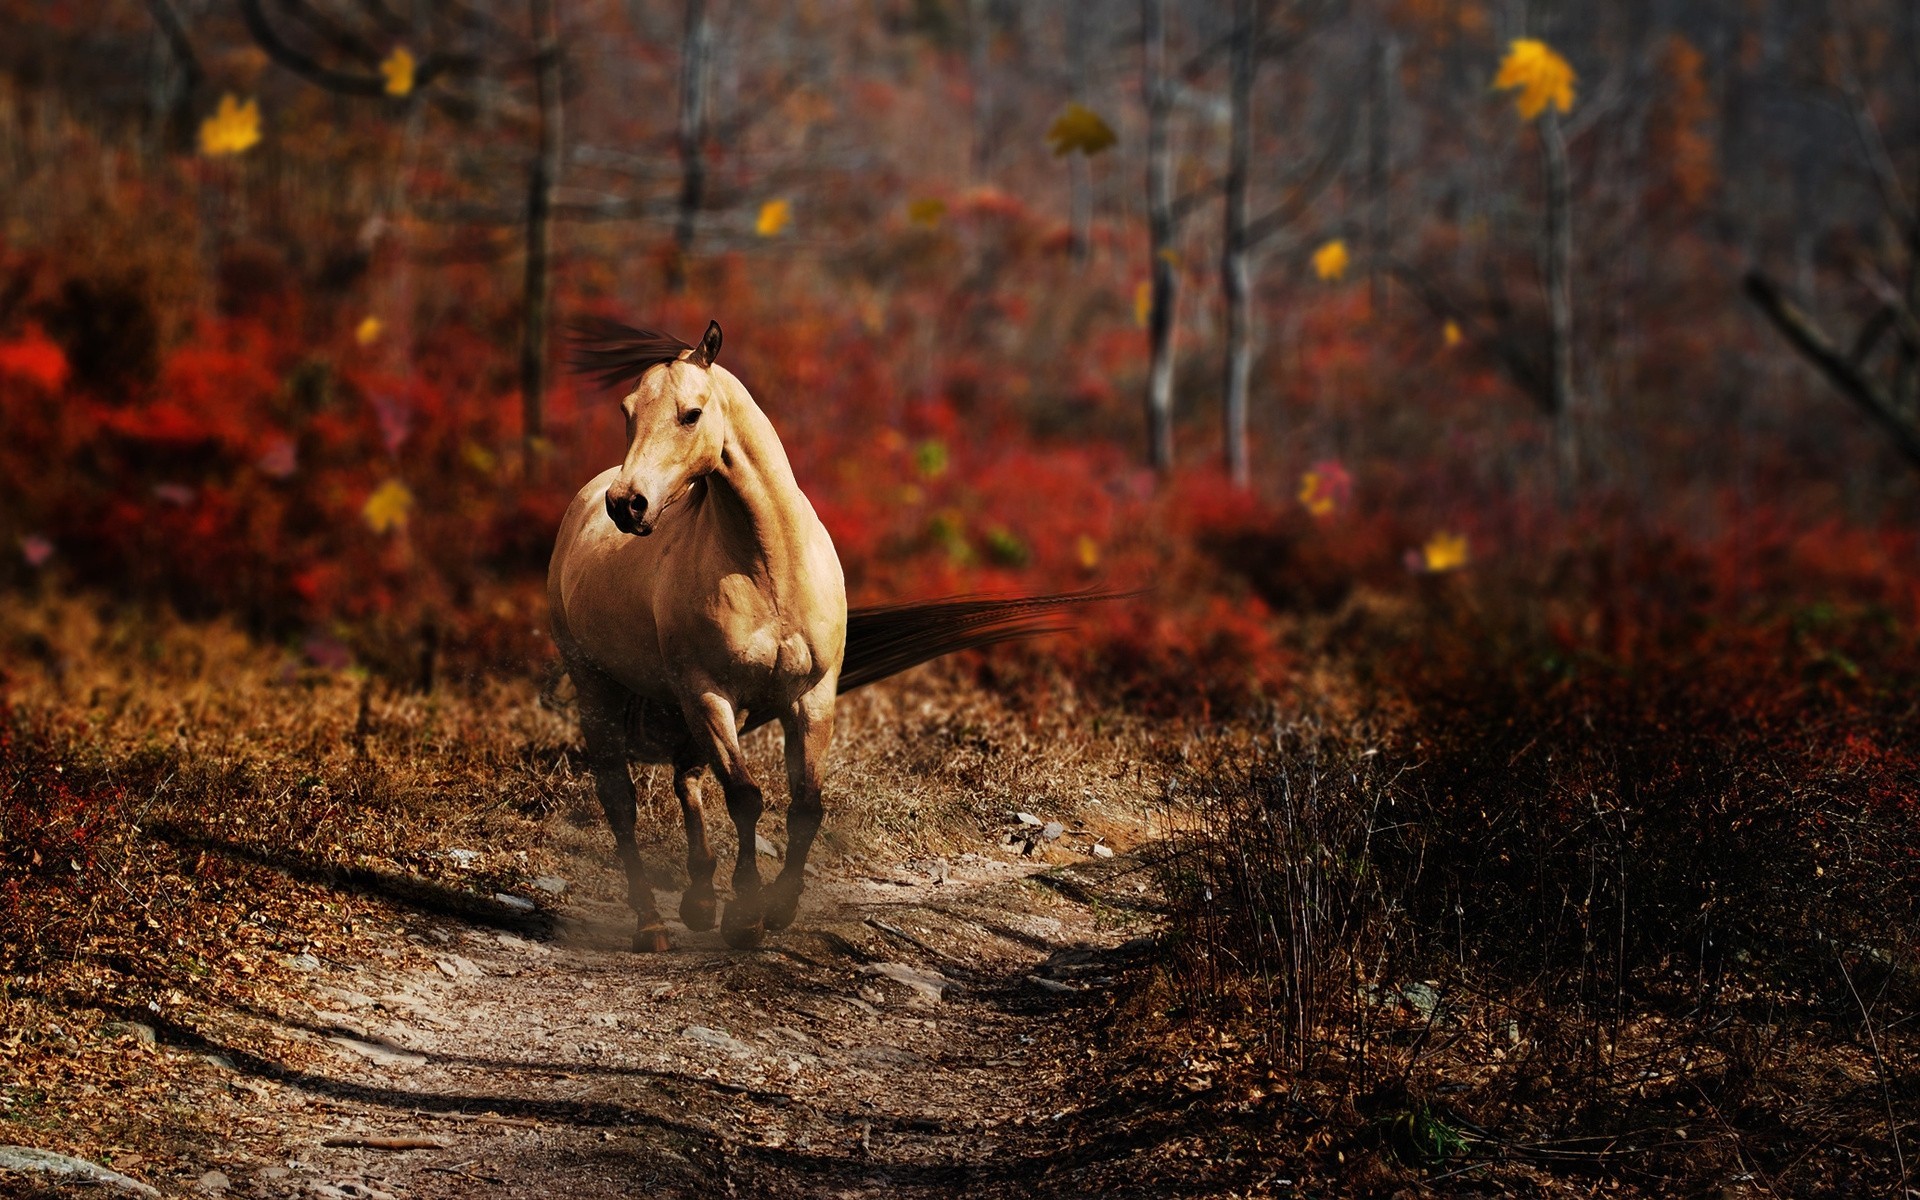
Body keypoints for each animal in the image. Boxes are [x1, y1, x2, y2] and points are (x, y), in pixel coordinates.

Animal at [551, 318, 1099, 952]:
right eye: (627, 410)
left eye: (691, 414)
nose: (627, 504)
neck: (769, 566)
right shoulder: (710, 693)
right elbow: (745, 797)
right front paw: (746, 916)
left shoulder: (809, 695)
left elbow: (806, 804)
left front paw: (778, 908)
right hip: (605, 687)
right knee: (621, 800)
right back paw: (652, 925)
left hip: (680, 701)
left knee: (686, 778)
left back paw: (698, 902)